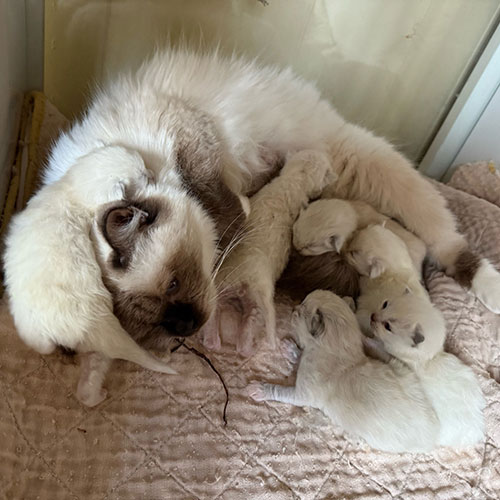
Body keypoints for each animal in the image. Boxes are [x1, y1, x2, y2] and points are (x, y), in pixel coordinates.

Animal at [42, 47, 500, 348]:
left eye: (173, 283)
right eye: (161, 322)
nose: (185, 325)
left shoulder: (187, 133)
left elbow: (219, 202)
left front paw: (232, 215)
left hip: (379, 170)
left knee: (450, 245)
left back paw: (490, 291)